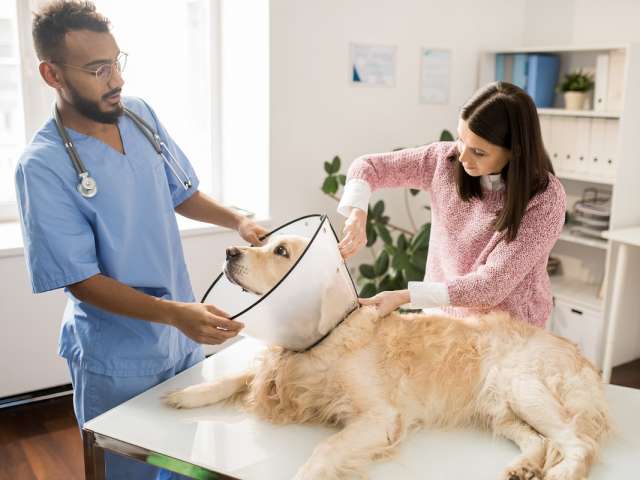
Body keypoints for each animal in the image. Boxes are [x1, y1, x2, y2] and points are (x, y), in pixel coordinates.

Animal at [164, 235, 604, 480]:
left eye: (281, 250)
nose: (229, 250)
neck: (323, 337)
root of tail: (585, 361)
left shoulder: (379, 417)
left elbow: (325, 450)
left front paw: (306, 473)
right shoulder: (279, 369)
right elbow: (235, 377)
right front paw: (188, 394)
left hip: (525, 388)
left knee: (578, 443)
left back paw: (561, 473)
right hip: (500, 409)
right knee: (539, 441)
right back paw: (525, 467)